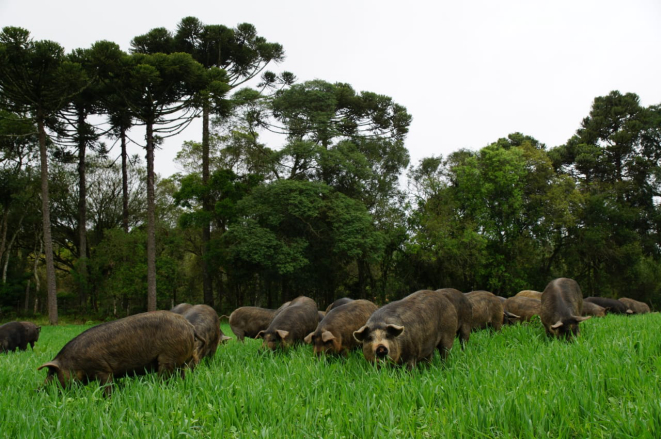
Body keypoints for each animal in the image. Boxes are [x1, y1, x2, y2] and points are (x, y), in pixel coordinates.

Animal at [37, 311, 202, 396]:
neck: (75, 362)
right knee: (182, 375)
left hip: (168, 357)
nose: (38, 390)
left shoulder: (102, 369)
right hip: (183, 360)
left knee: (165, 376)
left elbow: (107, 386)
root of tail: (191, 326)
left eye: (51, 373)